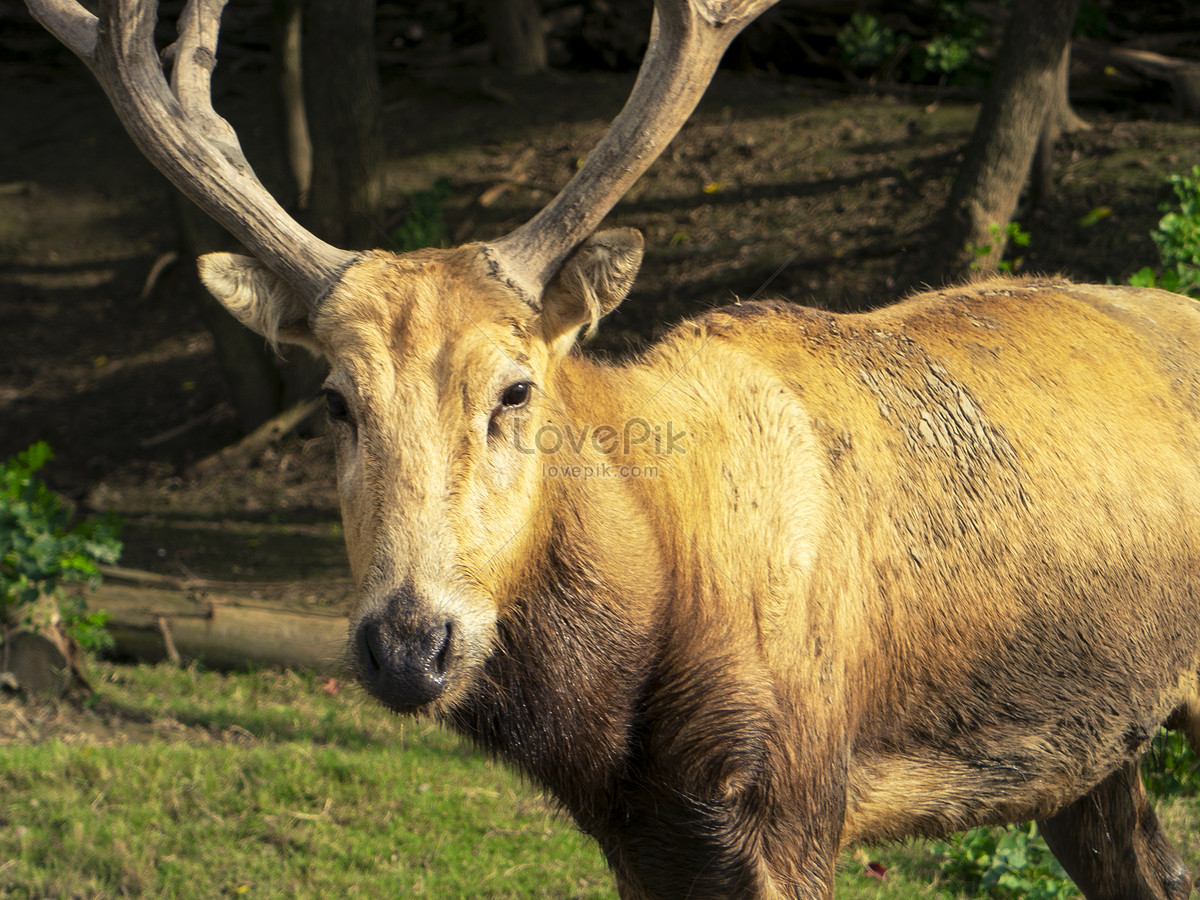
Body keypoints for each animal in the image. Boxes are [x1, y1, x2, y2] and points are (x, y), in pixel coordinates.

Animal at [25, 0, 1200, 897]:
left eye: (514, 388)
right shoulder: (645, 839)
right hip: (1094, 756)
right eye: (333, 402)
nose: (409, 644)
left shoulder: (797, 801)